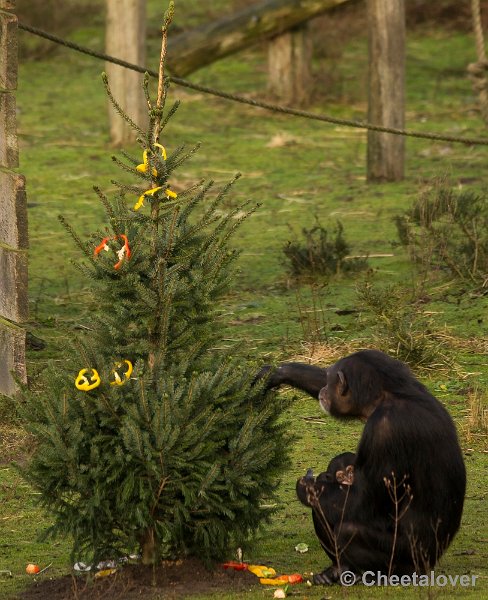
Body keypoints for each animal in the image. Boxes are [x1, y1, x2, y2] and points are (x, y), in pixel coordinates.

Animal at [262, 350, 468, 584]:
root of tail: (429, 565)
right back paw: (336, 571)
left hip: (406, 561)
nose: (324, 389)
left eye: (331, 382)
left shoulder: (384, 431)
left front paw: (309, 487)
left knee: (346, 527)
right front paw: (274, 373)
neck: (385, 397)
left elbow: (359, 503)